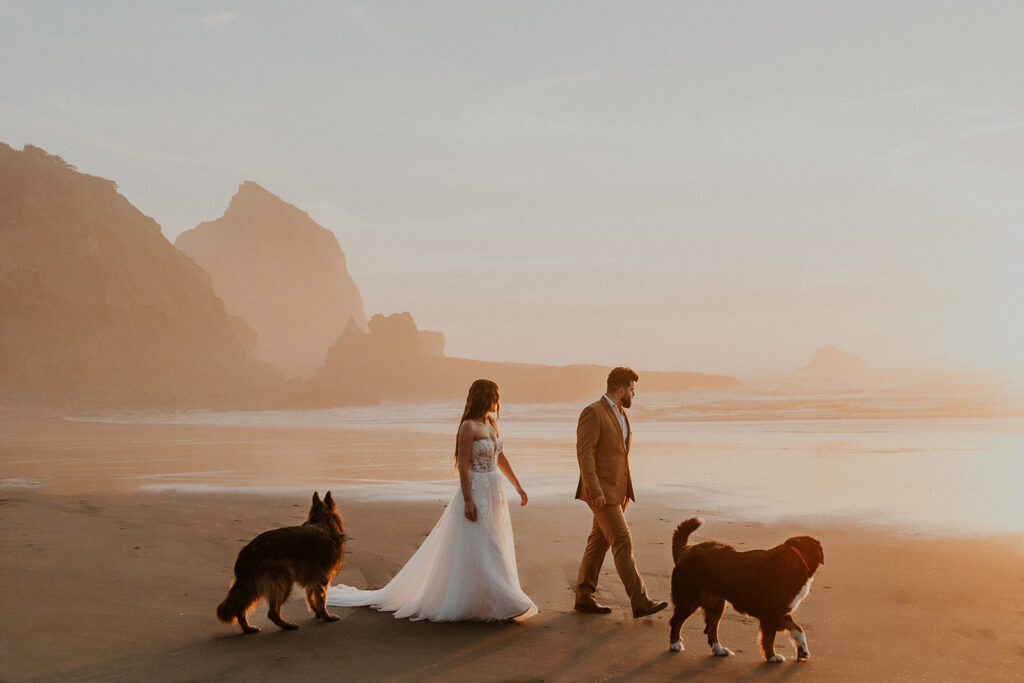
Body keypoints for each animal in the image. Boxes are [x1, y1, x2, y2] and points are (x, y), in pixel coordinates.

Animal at [218, 489, 346, 634]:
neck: (326, 523)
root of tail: (248, 551)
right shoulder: (322, 579)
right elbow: (321, 600)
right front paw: (326, 616)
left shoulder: (313, 580)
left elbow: (311, 598)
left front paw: (318, 613)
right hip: (283, 582)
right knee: (272, 613)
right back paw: (287, 625)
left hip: (253, 586)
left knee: (240, 609)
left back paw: (248, 628)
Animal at [671, 518, 823, 663]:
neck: (797, 559)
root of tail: (686, 549)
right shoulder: (772, 613)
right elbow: (769, 638)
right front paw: (772, 656)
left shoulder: (782, 612)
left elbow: (798, 629)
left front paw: (802, 650)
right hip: (689, 600)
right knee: (676, 621)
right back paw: (675, 644)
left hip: (716, 604)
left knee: (712, 629)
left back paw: (719, 649)